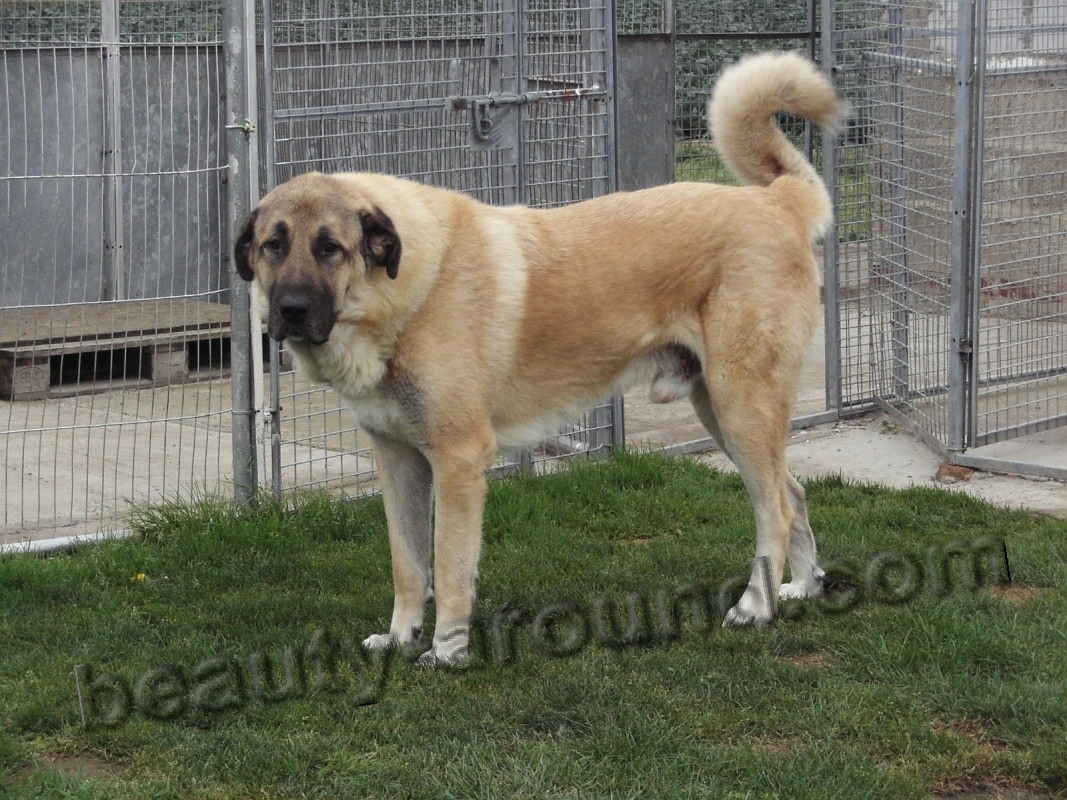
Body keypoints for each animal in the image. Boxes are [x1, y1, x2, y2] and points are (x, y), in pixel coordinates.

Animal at [237, 51, 845, 669]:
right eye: (272, 245)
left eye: (329, 248)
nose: (288, 309)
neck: (400, 294)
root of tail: (776, 201)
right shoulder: (398, 460)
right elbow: (407, 565)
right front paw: (401, 637)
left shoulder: (457, 461)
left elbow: (449, 569)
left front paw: (446, 651)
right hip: (723, 413)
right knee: (793, 494)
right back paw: (802, 586)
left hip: (740, 405)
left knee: (776, 508)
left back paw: (756, 608)